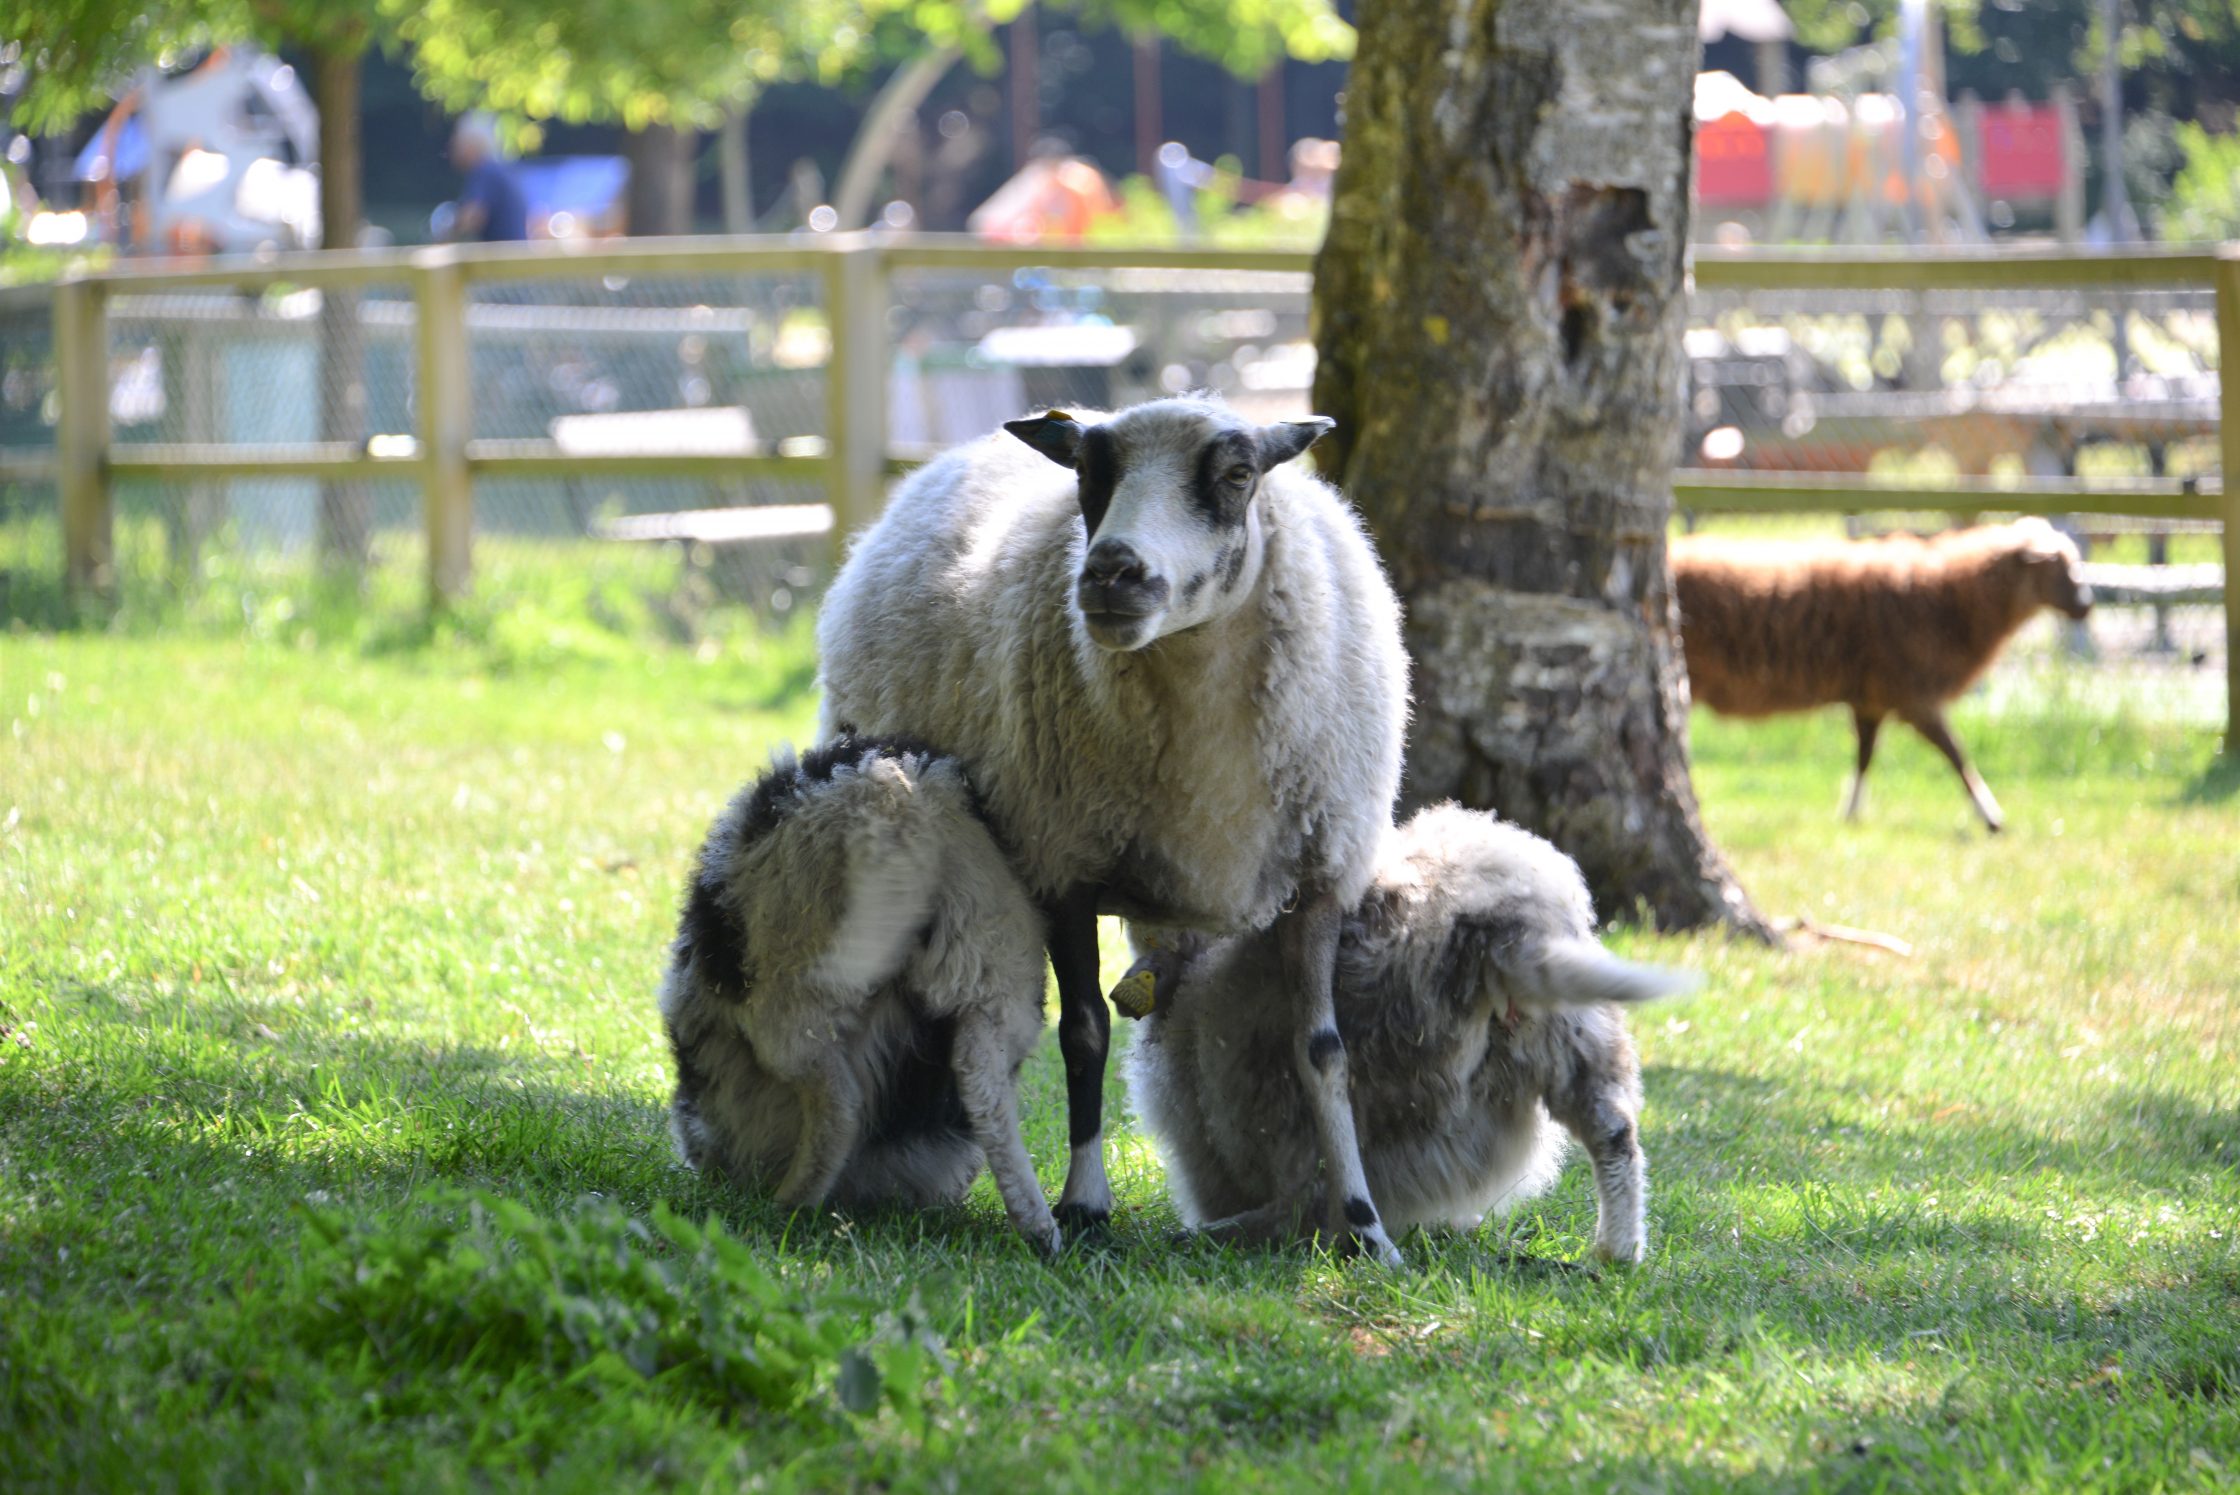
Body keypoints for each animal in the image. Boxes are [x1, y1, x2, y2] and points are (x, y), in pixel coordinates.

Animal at [658, 730, 1061, 1255]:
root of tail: (898, 794)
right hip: (989, 967)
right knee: (985, 1095)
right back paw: (1039, 1229)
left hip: (797, 982)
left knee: (838, 1107)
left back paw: (787, 1208)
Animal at [815, 394, 1406, 1264]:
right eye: (1090, 472)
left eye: (1238, 473)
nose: (1111, 573)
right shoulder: (1061, 865)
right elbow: (1085, 1034)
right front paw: (1084, 1201)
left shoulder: (1322, 877)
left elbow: (1325, 1053)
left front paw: (1366, 1228)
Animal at [1128, 806, 1684, 1264]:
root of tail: (1503, 931)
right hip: (1574, 1042)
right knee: (1614, 1132)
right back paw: (1618, 1250)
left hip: (1376, 1087)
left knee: (1319, 1186)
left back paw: (1226, 1233)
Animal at [1684, 520, 2096, 838]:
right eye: (2055, 566)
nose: (2086, 605)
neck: (1950, 599)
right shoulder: (1913, 696)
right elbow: (1956, 754)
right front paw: (1992, 818)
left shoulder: (1871, 700)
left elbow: (1865, 757)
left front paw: (1850, 813)